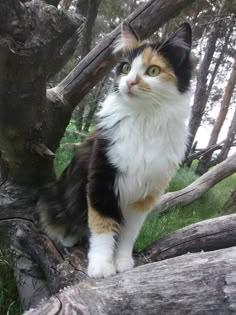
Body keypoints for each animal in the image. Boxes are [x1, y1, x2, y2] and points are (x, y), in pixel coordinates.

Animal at [39, 22, 194, 278]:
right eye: (125, 67)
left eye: (153, 71)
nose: (129, 83)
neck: (144, 119)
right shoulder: (102, 180)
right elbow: (102, 226)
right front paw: (101, 266)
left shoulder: (144, 196)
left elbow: (129, 234)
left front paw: (122, 262)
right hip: (53, 195)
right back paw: (68, 236)